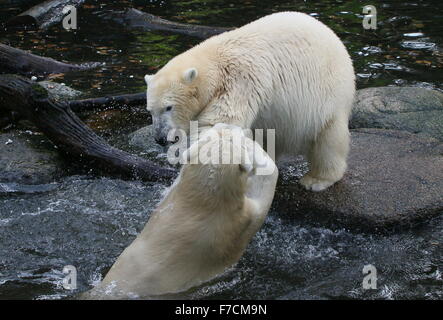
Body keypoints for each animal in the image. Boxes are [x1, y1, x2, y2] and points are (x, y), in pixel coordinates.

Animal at [80, 124, 278, 298]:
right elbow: (266, 185)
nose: (232, 126)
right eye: (232, 135)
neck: (202, 204)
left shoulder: (172, 199)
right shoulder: (235, 225)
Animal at [146, 11, 358, 191]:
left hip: (329, 97)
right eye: (150, 110)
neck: (216, 62)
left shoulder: (240, 80)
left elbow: (220, 122)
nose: (159, 137)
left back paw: (316, 180)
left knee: (328, 139)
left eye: (168, 107)